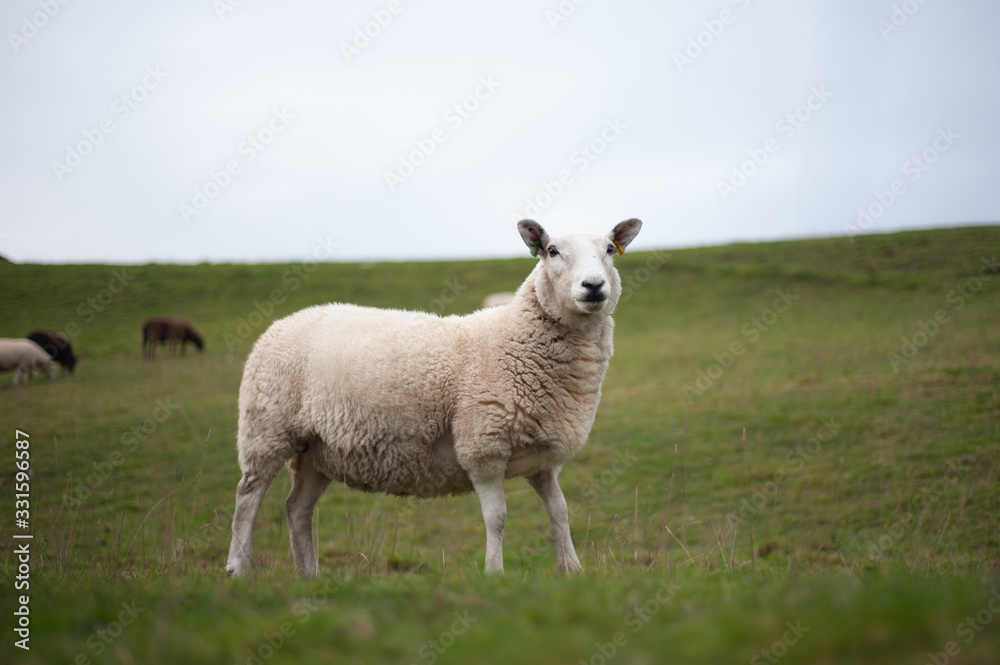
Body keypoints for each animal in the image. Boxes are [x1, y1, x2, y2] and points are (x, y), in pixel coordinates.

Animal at [227, 218, 644, 576]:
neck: (515, 340)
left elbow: (560, 512)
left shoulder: (542, 459)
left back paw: (309, 575)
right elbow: (497, 518)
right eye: (552, 250)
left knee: (297, 509)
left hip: (315, 449)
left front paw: (572, 570)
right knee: (248, 497)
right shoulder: (483, 446)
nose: (593, 286)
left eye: (610, 248)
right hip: (266, 429)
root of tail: (283, 322)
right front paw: (495, 574)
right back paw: (239, 569)